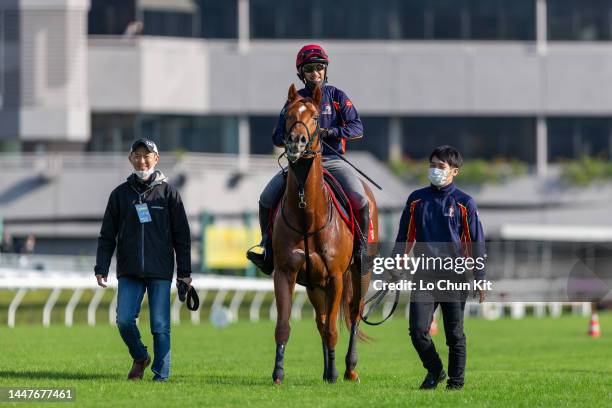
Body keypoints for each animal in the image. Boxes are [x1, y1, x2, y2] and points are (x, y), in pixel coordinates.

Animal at [272, 84, 378, 384]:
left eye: (317, 117)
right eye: (287, 115)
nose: (296, 142)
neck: (308, 214)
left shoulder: (335, 277)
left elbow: (333, 328)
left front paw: (334, 374)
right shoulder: (285, 272)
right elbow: (283, 326)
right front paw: (278, 373)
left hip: (359, 272)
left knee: (353, 313)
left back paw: (349, 369)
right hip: (314, 285)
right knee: (320, 321)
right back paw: (326, 368)